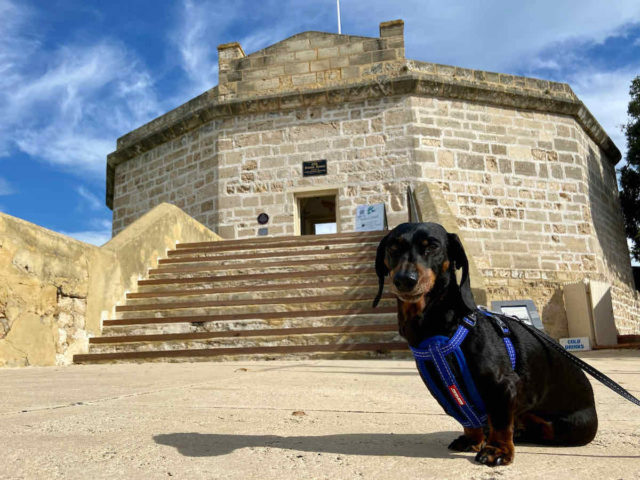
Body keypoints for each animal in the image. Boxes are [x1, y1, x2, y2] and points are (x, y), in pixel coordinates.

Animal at [372, 223, 596, 466]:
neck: (439, 329)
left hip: (562, 425)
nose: (405, 279)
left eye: (432, 246)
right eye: (393, 248)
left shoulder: (501, 385)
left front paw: (498, 450)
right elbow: (467, 417)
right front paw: (473, 440)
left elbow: (499, 420)